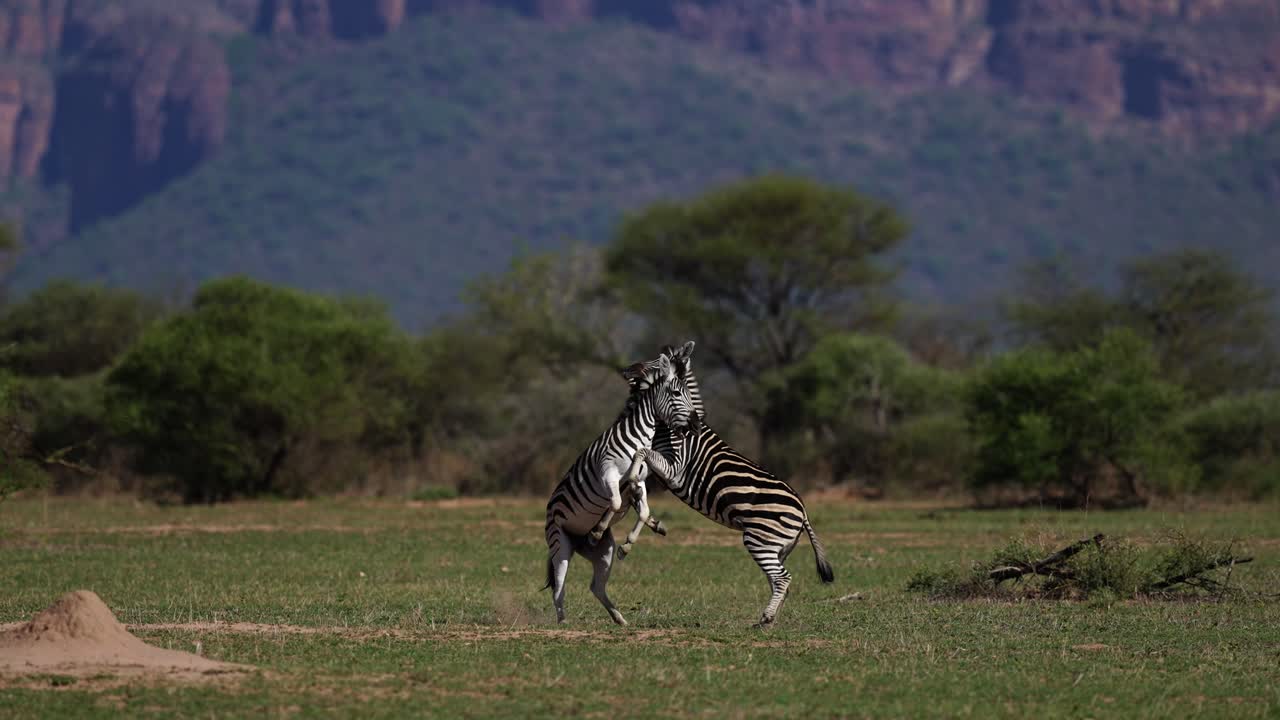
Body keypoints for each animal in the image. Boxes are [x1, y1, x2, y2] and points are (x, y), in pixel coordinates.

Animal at [543, 349, 698, 626]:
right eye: (676, 393)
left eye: (689, 393)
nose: (696, 424)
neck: (640, 436)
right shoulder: (608, 473)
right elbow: (614, 502)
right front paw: (598, 528)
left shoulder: (639, 481)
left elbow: (643, 511)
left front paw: (628, 543)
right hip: (560, 543)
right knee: (559, 587)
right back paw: (563, 624)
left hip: (604, 553)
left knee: (596, 586)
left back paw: (619, 618)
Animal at [623, 342, 835, 626]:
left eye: (655, 364)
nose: (626, 370)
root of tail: (803, 511)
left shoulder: (675, 468)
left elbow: (642, 453)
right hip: (778, 547)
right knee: (780, 581)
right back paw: (770, 619)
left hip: (760, 540)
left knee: (782, 579)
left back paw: (766, 619)